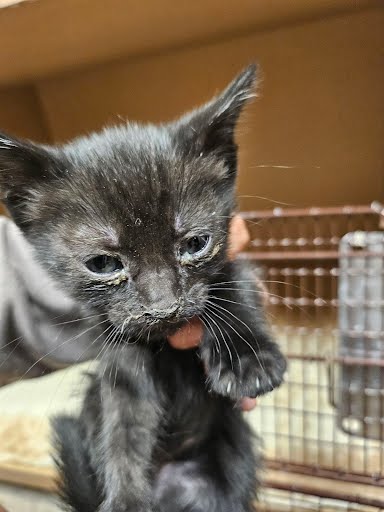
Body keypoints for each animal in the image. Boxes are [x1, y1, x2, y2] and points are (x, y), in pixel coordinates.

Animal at [0, 65, 284, 512]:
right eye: (103, 264)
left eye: (195, 243)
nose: (165, 307)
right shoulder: (119, 357)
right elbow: (123, 430)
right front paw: (126, 499)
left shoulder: (235, 260)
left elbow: (231, 287)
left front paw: (247, 358)